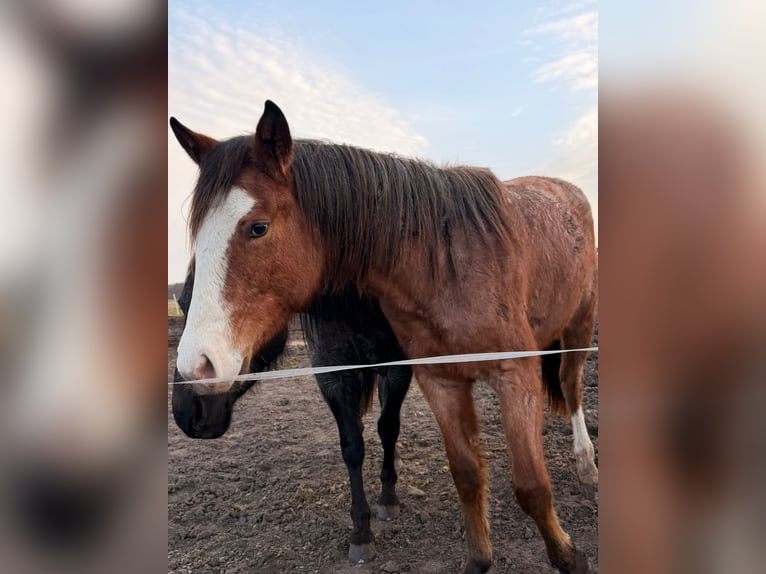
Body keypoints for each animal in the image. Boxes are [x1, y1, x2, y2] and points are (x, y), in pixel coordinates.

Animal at [171, 260, 412, 563]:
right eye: (184, 304)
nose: (185, 413)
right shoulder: (331, 371)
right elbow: (352, 446)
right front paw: (361, 533)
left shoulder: (400, 367)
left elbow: (388, 428)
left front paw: (388, 498)